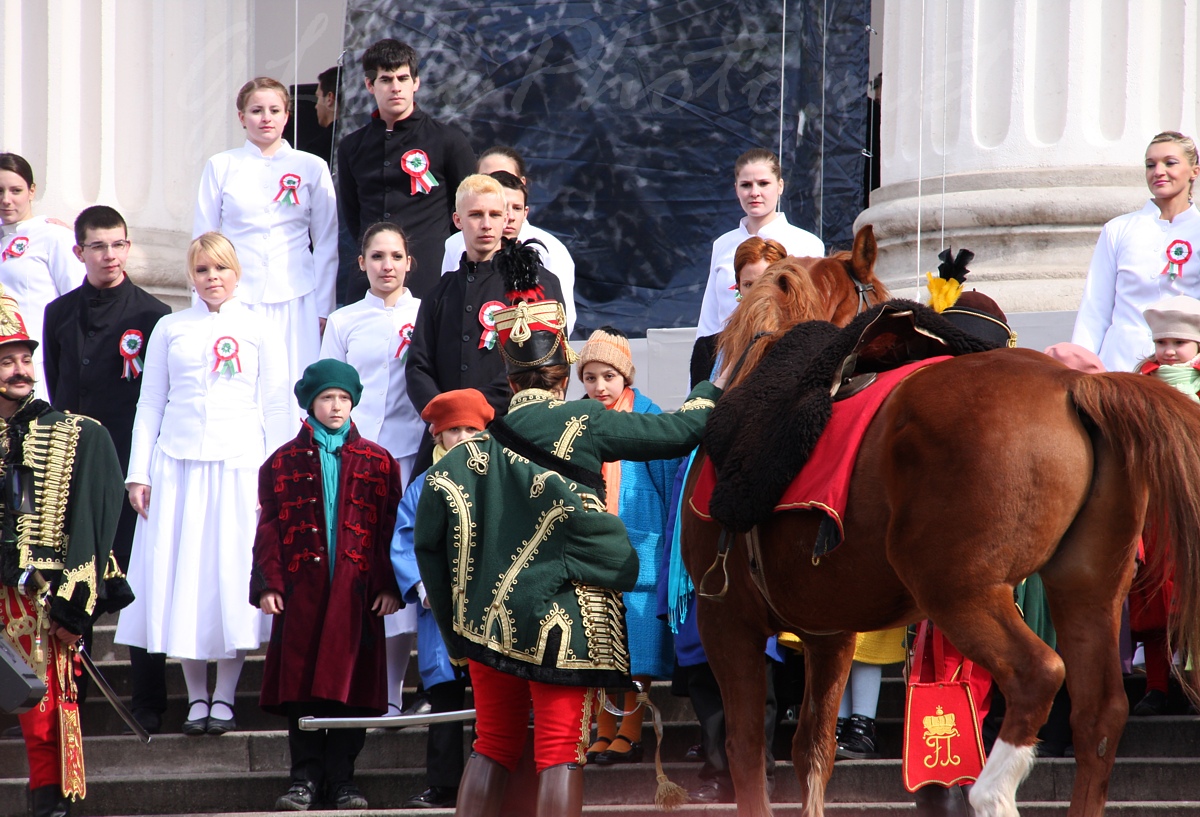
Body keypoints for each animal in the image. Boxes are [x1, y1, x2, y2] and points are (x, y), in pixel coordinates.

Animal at [681, 226, 1200, 815]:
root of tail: (1073, 385)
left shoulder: (727, 620)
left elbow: (748, 748)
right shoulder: (829, 632)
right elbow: (813, 749)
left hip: (958, 589)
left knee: (1037, 675)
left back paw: (991, 791)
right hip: (1086, 587)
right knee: (1100, 713)